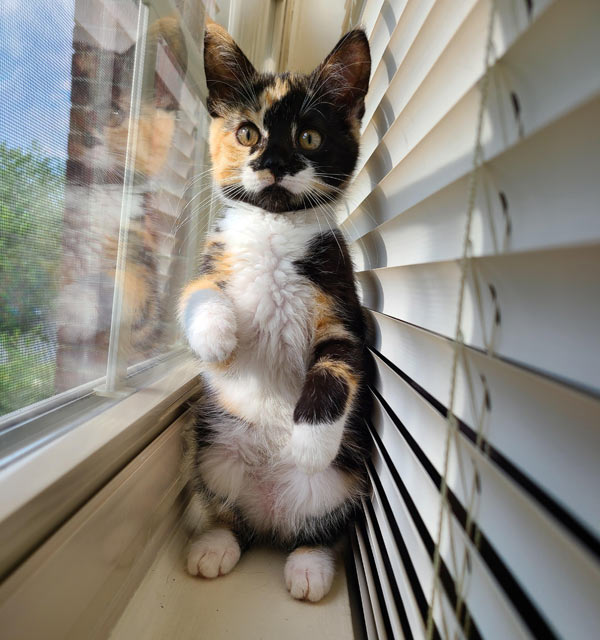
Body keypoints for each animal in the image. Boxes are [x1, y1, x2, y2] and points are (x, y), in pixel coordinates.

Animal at [180, 22, 372, 604]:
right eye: (248, 134)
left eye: (308, 137)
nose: (274, 164)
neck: (273, 230)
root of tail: (270, 514)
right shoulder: (216, 257)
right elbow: (195, 293)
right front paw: (217, 337)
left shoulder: (342, 301)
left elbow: (336, 367)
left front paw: (309, 443)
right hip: (214, 450)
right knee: (224, 506)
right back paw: (214, 543)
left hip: (340, 484)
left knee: (323, 525)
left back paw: (309, 565)